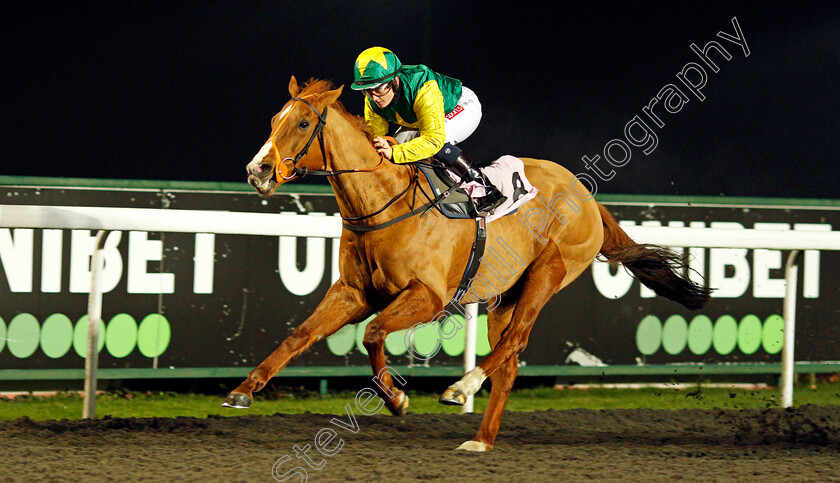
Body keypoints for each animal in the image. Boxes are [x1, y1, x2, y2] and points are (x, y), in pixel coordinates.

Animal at [225, 77, 708, 452]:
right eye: (275, 121)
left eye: (303, 123)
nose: (257, 170)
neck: (384, 203)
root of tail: (587, 196)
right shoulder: (353, 293)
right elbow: (299, 335)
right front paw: (243, 391)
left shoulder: (429, 297)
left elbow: (374, 333)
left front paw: (397, 400)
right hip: (504, 295)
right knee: (509, 362)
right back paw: (481, 439)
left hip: (549, 272)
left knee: (515, 340)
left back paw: (462, 387)